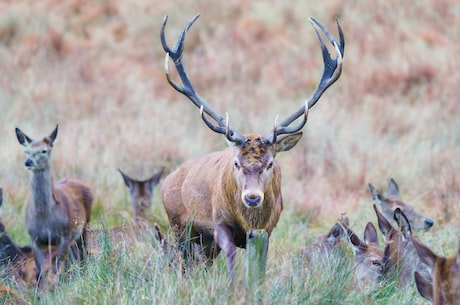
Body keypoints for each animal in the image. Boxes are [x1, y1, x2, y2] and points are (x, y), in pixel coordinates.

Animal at [15, 124, 93, 282]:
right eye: (26, 151)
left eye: (44, 150)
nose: (28, 162)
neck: (45, 218)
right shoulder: (34, 238)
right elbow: (40, 272)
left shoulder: (64, 235)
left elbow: (57, 270)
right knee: (76, 256)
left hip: (84, 225)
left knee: (83, 253)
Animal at [160, 13, 344, 278]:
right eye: (236, 163)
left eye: (270, 164)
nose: (253, 197)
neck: (249, 221)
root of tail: (168, 180)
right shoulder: (219, 222)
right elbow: (231, 259)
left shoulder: (265, 231)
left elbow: (258, 269)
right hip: (179, 227)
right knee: (182, 262)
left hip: (203, 243)